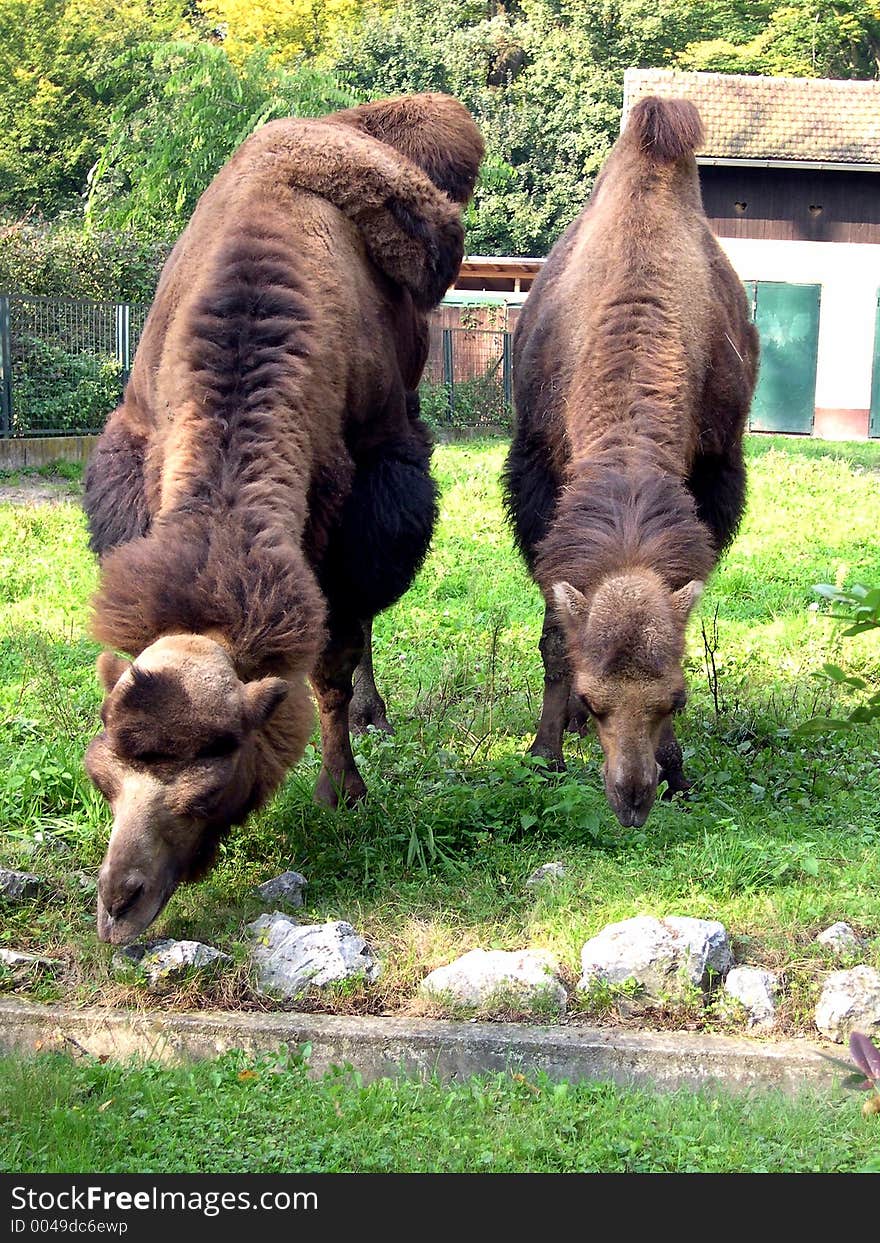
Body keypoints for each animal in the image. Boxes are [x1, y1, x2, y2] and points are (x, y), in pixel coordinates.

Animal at [82, 91, 482, 939]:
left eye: (209, 785)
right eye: (104, 775)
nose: (119, 905)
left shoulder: (363, 503)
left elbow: (331, 661)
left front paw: (343, 789)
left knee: (362, 627)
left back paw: (372, 712)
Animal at [504, 96, 760, 830]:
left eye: (675, 699)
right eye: (597, 701)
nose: (633, 798)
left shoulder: (718, 476)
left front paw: (680, 772)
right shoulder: (534, 478)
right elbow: (557, 633)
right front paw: (545, 750)